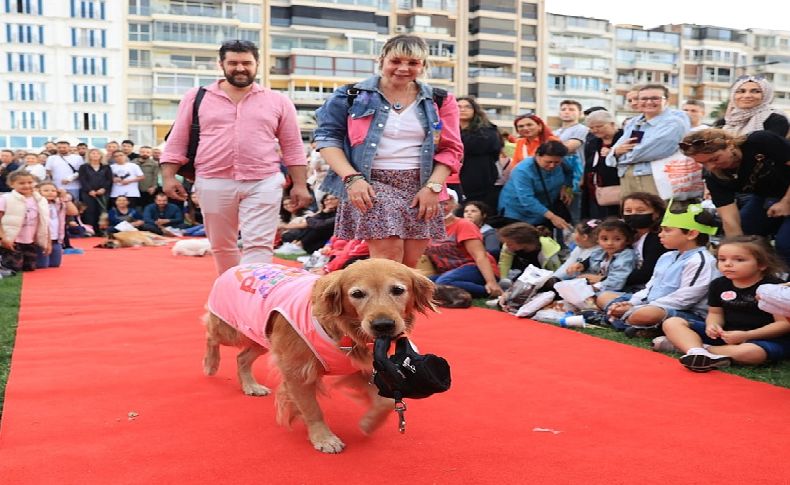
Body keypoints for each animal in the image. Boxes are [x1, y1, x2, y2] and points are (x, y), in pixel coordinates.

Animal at [203, 260, 440, 452]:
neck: (344, 331)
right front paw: (324, 438)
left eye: (398, 290)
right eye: (357, 294)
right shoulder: (297, 371)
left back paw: (250, 385)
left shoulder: (354, 368)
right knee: (211, 335)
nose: (383, 325)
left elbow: (386, 403)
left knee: (241, 358)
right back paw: (210, 364)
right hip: (231, 329)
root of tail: (238, 266)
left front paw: (369, 423)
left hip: (261, 334)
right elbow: (312, 409)